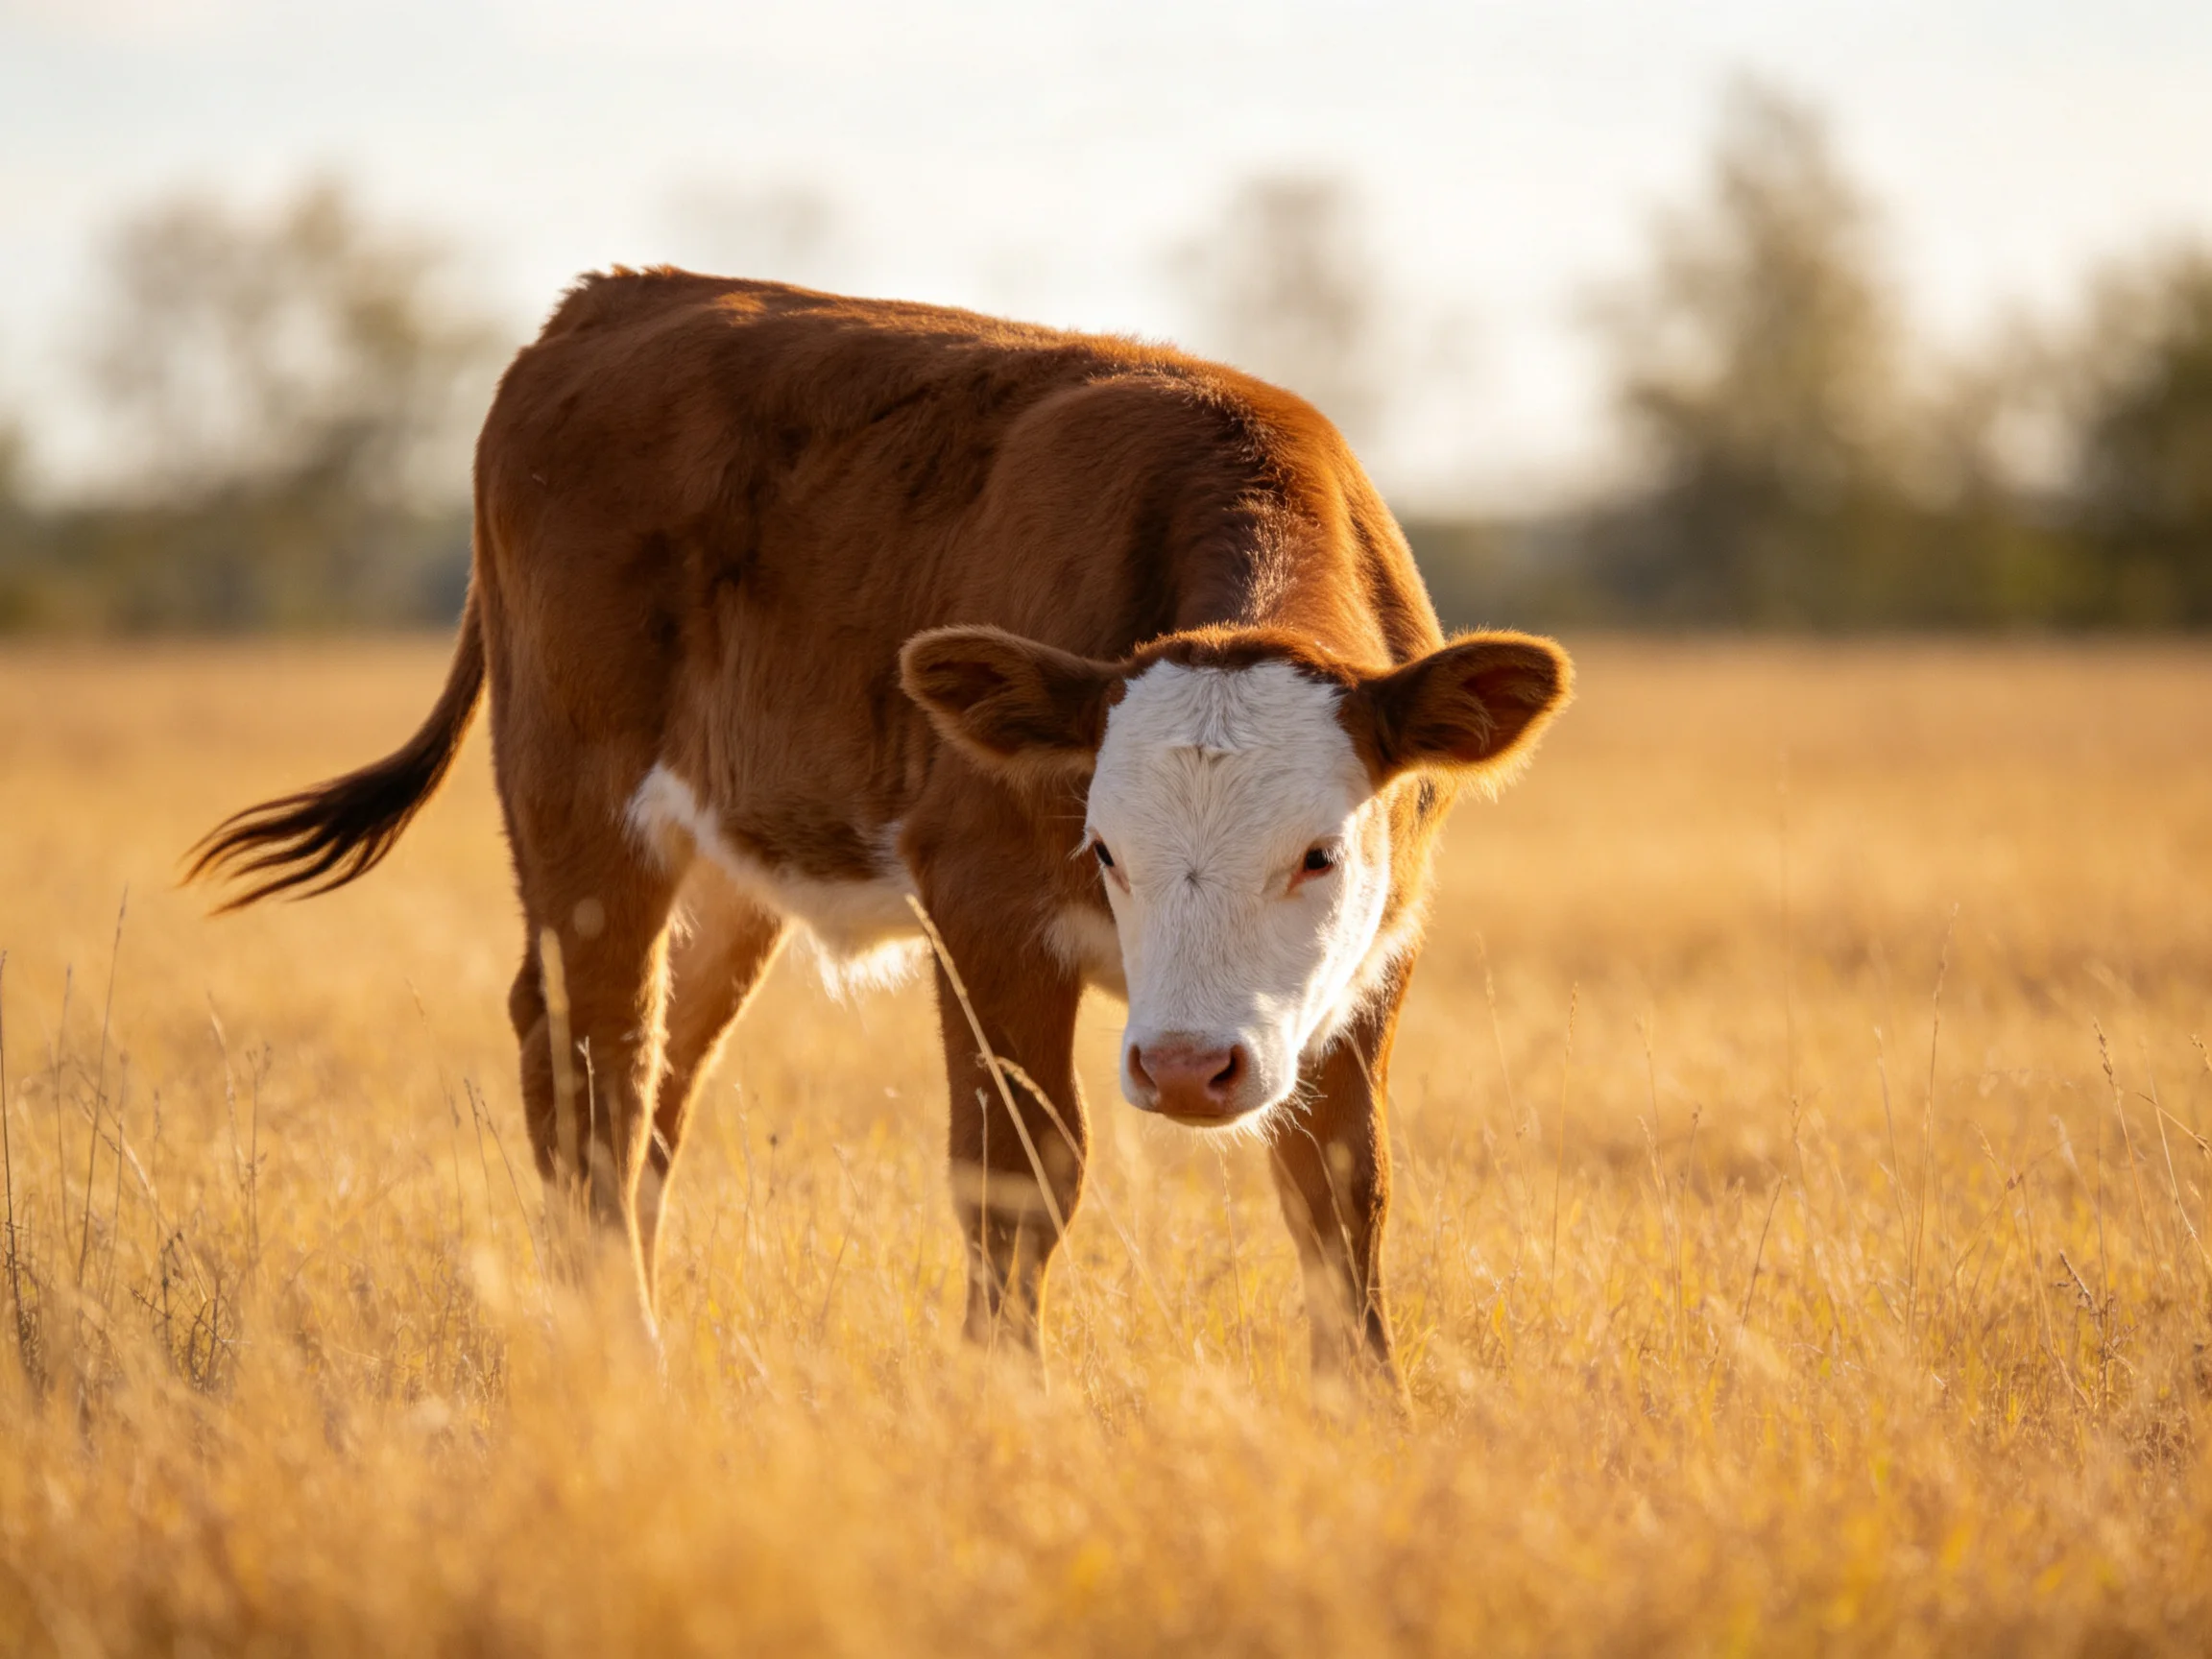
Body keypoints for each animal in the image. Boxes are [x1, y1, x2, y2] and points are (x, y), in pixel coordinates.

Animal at [189, 269, 1572, 1389]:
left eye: (1320, 854)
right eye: (1104, 851)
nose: (1186, 1068)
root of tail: (607, 303)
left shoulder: (1375, 959)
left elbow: (1341, 1192)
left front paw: (1369, 1408)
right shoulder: (986, 912)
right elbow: (1019, 1177)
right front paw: (1003, 1398)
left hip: (724, 877)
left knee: (644, 1089)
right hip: (582, 815)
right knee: (596, 1079)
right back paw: (624, 1358)